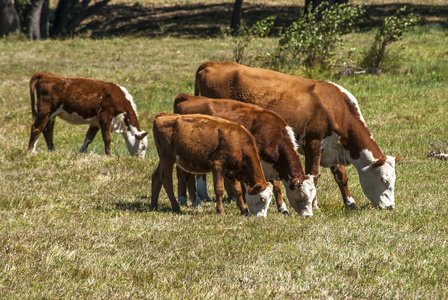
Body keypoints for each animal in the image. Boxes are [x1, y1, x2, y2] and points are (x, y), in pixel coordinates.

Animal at [173, 93, 316, 216]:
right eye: (302, 195)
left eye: (313, 196)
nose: (308, 215)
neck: (273, 135)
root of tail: (187, 97)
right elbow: (274, 186)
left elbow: (276, 187)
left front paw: (282, 207)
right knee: (185, 175)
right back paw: (191, 201)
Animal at [194, 61, 400, 211]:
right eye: (384, 180)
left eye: (393, 181)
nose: (391, 207)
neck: (336, 107)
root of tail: (212, 63)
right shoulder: (313, 144)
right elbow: (314, 176)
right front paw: (315, 205)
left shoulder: (333, 147)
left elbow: (341, 176)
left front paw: (350, 203)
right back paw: (203, 197)